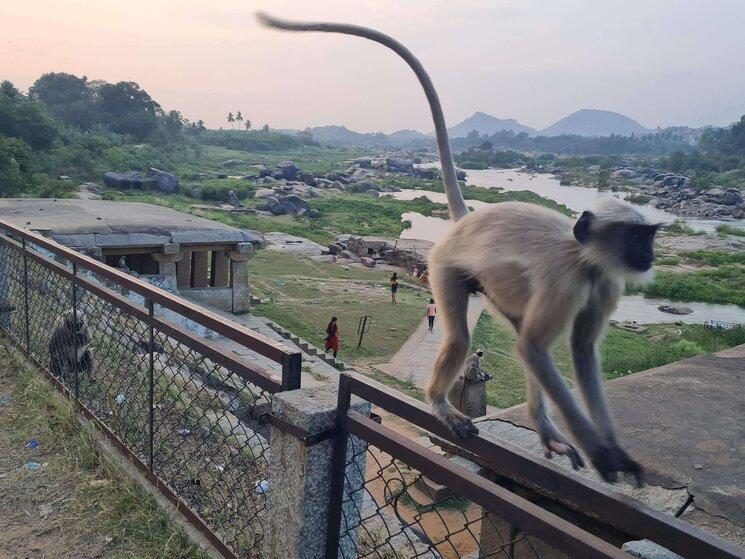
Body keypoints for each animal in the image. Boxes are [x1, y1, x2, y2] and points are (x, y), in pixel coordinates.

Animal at [258, 10, 656, 484]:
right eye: (636, 236)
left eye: (649, 235)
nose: (649, 256)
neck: (586, 260)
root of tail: (468, 222)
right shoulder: (566, 280)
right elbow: (541, 349)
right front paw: (602, 452)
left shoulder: (606, 284)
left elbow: (579, 351)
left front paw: (612, 449)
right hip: (444, 266)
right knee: (475, 338)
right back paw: (440, 403)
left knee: (522, 337)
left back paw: (543, 429)